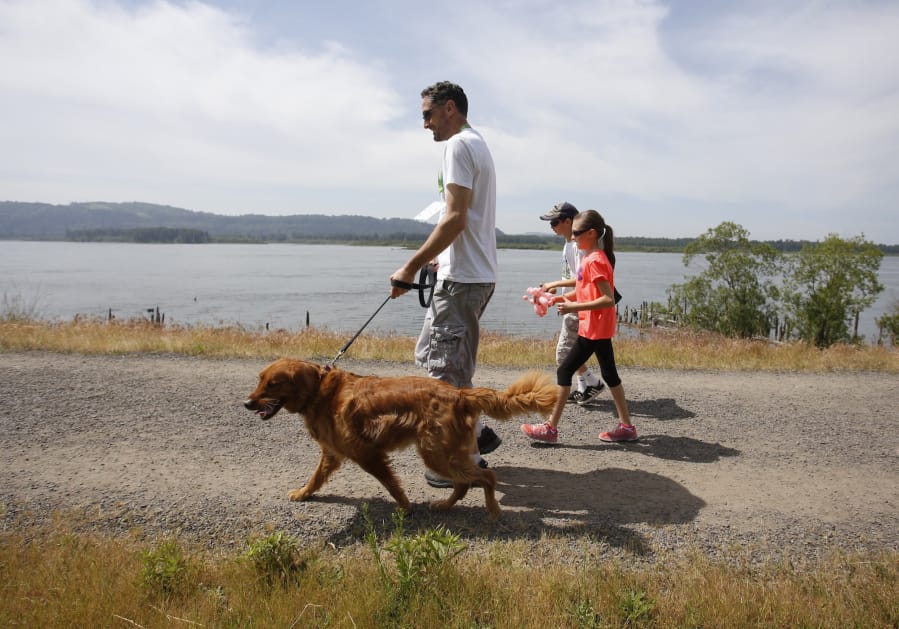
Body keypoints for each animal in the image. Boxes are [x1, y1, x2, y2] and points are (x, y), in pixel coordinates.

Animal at [244, 358, 556, 520]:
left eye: (273, 384)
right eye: (259, 380)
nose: (247, 403)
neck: (320, 391)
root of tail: (459, 393)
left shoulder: (368, 455)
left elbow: (392, 486)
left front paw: (404, 507)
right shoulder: (332, 453)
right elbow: (316, 477)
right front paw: (303, 493)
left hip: (436, 453)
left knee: (486, 477)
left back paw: (492, 510)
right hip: (442, 453)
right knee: (465, 483)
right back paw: (445, 506)